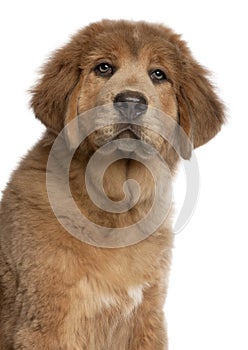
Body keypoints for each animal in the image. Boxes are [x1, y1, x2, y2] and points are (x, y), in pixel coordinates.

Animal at [0, 19, 224, 350]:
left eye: (158, 74)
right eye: (104, 68)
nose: (131, 102)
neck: (115, 205)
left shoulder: (148, 317)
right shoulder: (47, 323)